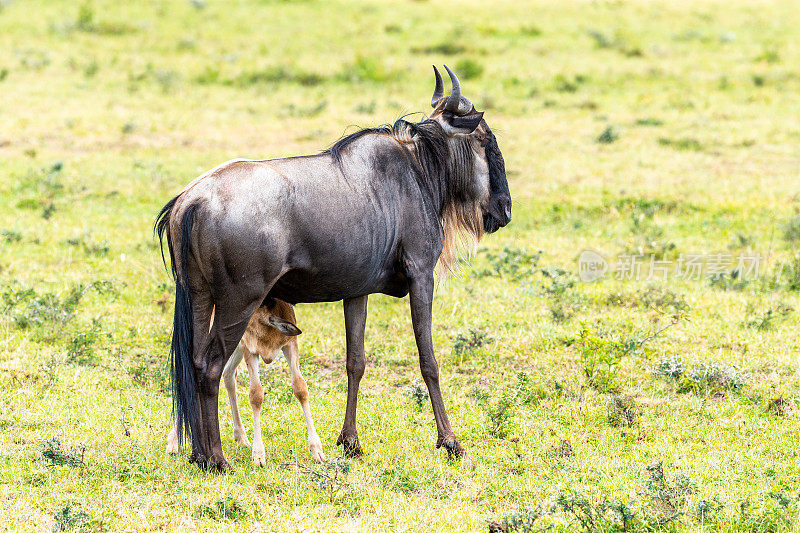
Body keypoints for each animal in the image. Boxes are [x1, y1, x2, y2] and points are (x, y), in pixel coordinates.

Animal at [166, 298, 324, 464]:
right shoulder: (249, 348)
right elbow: (256, 394)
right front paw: (259, 455)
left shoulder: (290, 344)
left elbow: (300, 387)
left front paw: (317, 450)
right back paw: (173, 442)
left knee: (227, 374)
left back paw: (241, 437)